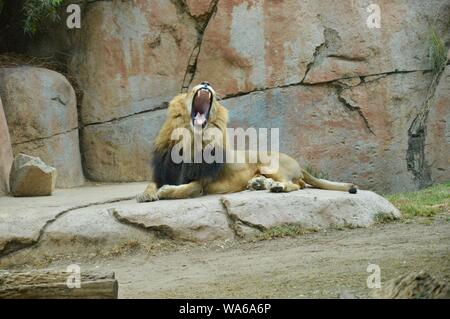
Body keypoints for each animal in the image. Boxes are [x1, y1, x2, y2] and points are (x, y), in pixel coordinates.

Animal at [135, 82, 356, 202]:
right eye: (191, 88)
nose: (206, 82)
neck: (191, 139)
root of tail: (299, 164)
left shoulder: (202, 181)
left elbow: (186, 189)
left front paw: (166, 191)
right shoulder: (163, 171)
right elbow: (150, 184)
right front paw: (146, 195)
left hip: (270, 163)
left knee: (294, 185)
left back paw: (277, 187)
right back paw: (258, 183)